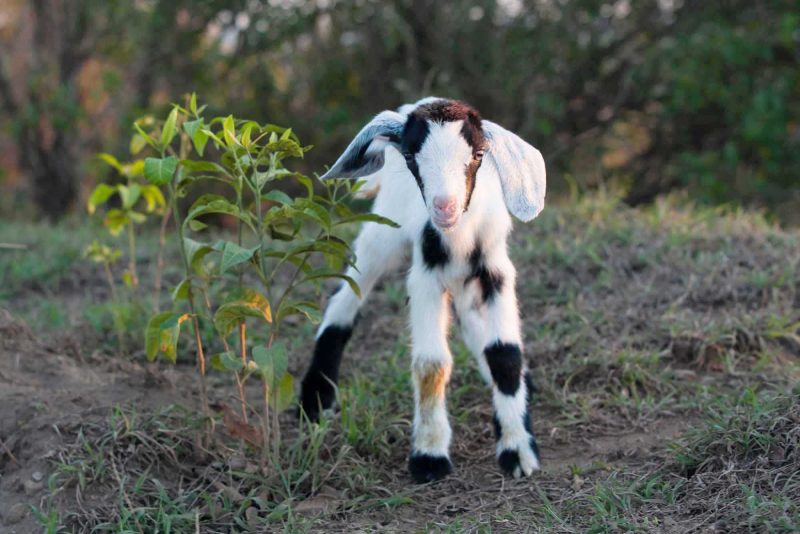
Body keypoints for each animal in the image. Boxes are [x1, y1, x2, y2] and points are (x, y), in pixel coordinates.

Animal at [299, 97, 546, 482]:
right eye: (411, 156)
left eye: (478, 155)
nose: (445, 207)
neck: (458, 239)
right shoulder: (425, 276)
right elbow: (432, 363)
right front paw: (429, 456)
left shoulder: (495, 272)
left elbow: (504, 354)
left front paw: (517, 449)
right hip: (382, 234)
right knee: (345, 298)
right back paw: (316, 396)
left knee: (470, 320)